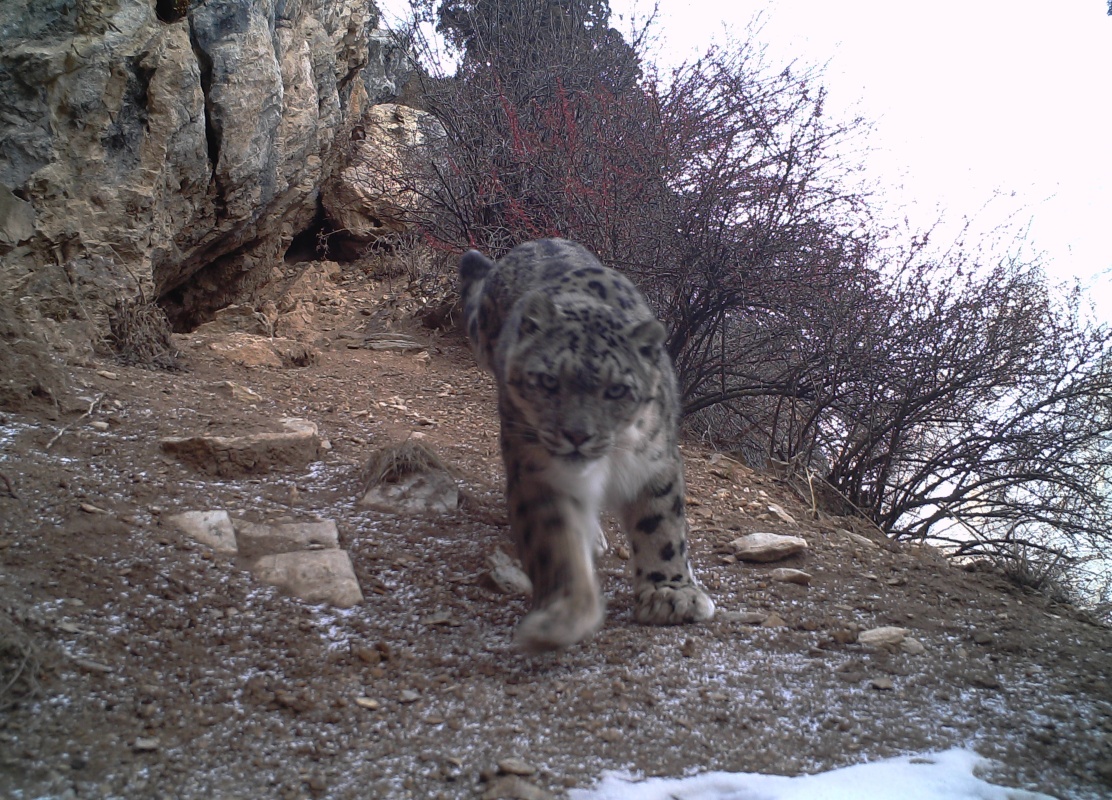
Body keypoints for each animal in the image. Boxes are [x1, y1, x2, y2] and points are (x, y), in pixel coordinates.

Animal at [458, 238, 711, 649]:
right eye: (548, 381)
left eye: (617, 390)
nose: (577, 435)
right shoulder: (537, 471)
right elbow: (555, 541)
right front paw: (563, 615)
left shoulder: (654, 462)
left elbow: (662, 526)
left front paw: (671, 594)